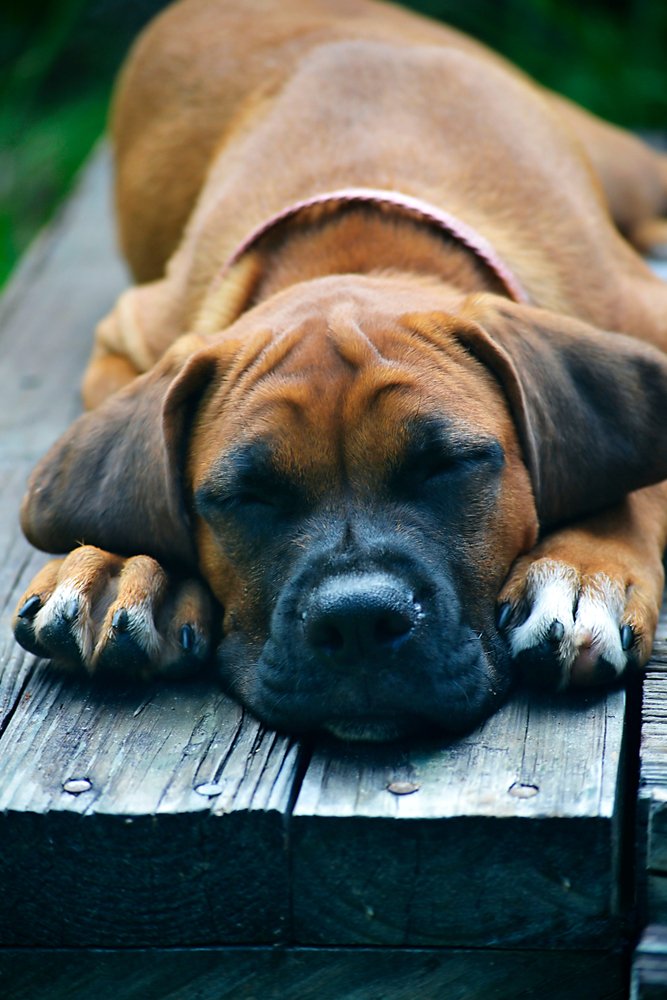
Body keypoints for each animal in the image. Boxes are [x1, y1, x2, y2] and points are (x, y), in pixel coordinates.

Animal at [11, 0, 667, 736]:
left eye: (446, 466)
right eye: (246, 497)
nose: (357, 622)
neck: (363, 245)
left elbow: (634, 476)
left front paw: (581, 570)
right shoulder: (128, 338)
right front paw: (124, 560)